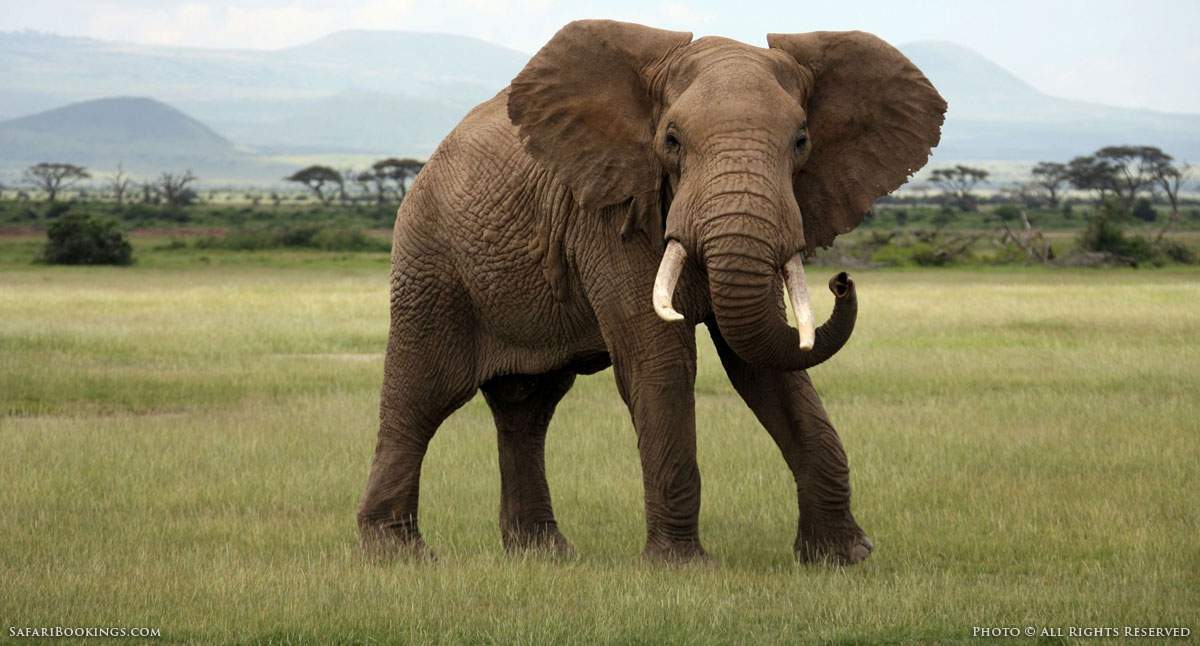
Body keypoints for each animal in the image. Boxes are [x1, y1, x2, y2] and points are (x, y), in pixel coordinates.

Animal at [357, 20, 945, 564]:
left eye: (801, 142)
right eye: (672, 141)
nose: (842, 281)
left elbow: (767, 365)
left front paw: (844, 559)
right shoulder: (610, 213)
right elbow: (659, 360)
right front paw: (682, 567)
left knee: (527, 408)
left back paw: (545, 556)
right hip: (430, 263)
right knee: (423, 394)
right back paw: (398, 555)